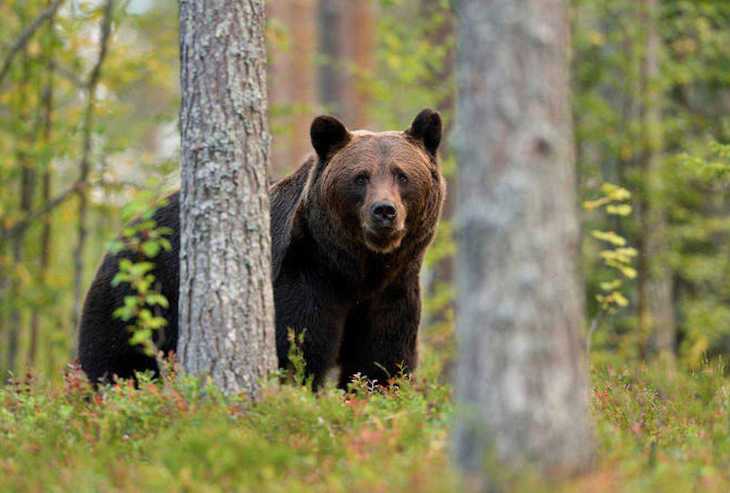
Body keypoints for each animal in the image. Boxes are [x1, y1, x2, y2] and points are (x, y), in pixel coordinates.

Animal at [78, 109, 445, 390]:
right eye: (361, 177)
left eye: (402, 175)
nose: (384, 211)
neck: (356, 269)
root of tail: (128, 231)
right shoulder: (303, 277)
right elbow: (297, 351)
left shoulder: (391, 293)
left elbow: (381, 363)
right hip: (137, 297)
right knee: (114, 363)